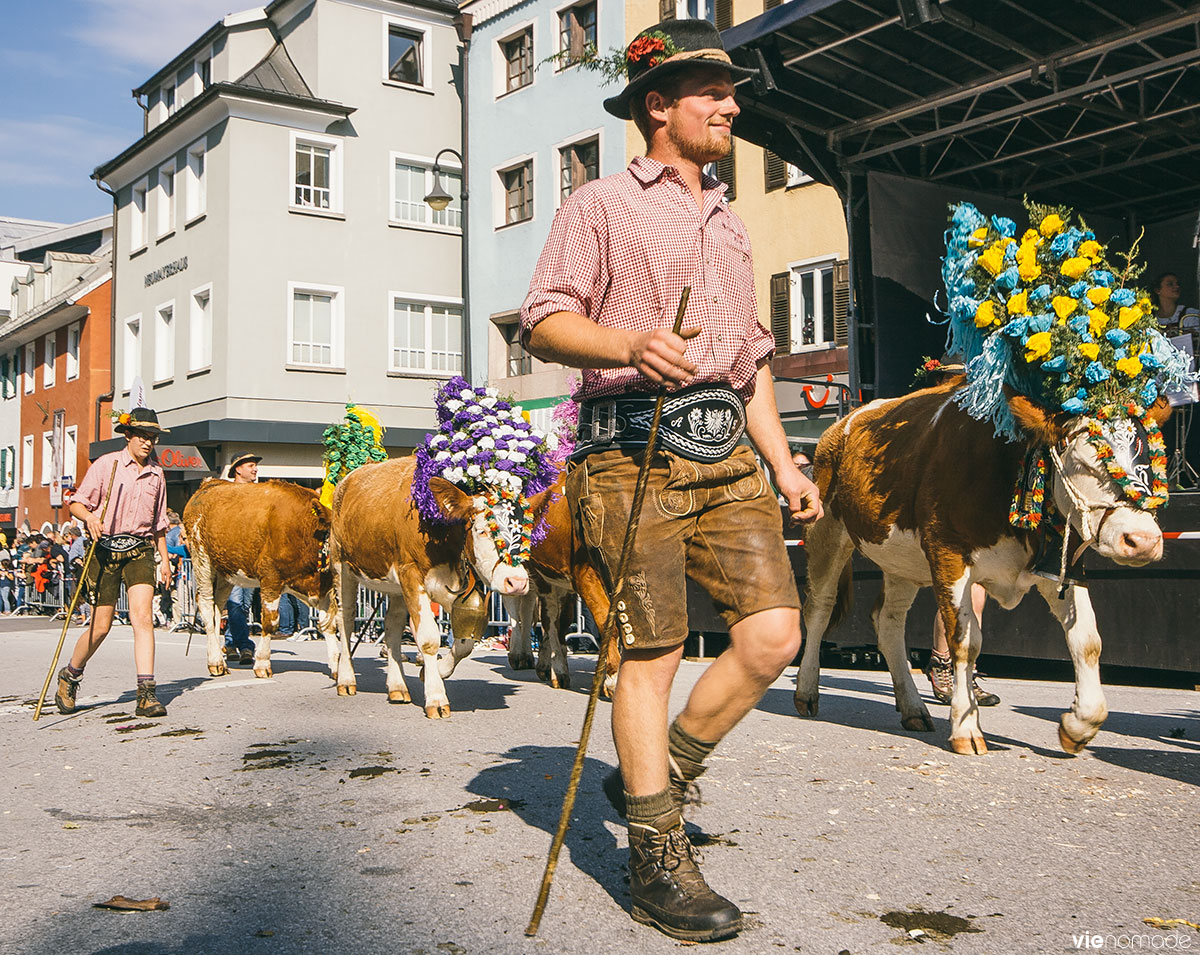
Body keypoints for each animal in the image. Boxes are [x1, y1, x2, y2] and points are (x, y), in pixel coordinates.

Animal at [180, 482, 338, 681]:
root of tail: (209, 483)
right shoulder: (270, 578)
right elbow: (270, 622)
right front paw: (262, 664)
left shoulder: (324, 589)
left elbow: (329, 624)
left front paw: (338, 667)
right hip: (201, 560)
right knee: (207, 607)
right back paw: (216, 662)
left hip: (224, 572)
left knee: (217, 610)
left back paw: (219, 662)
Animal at [331, 455, 532, 715]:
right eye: (482, 530)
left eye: (526, 530)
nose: (517, 582)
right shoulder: (412, 575)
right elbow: (428, 638)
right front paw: (436, 697)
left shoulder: (454, 587)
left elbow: (465, 642)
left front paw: (432, 672)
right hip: (342, 566)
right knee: (345, 619)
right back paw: (346, 680)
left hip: (395, 587)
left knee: (392, 626)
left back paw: (397, 687)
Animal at [504, 477, 624, 695]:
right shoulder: (586, 576)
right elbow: (606, 622)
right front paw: (613, 679)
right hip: (539, 581)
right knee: (543, 619)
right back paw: (550, 668)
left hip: (561, 586)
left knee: (558, 622)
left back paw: (545, 666)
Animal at [792, 381, 1166, 753]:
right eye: (1081, 460)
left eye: (1149, 458)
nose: (1143, 540)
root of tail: (843, 423)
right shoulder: (947, 555)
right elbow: (966, 641)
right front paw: (966, 728)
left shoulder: (1060, 567)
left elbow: (1087, 640)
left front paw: (1079, 725)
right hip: (826, 531)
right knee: (819, 609)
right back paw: (806, 692)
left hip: (900, 561)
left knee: (888, 621)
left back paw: (913, 708)